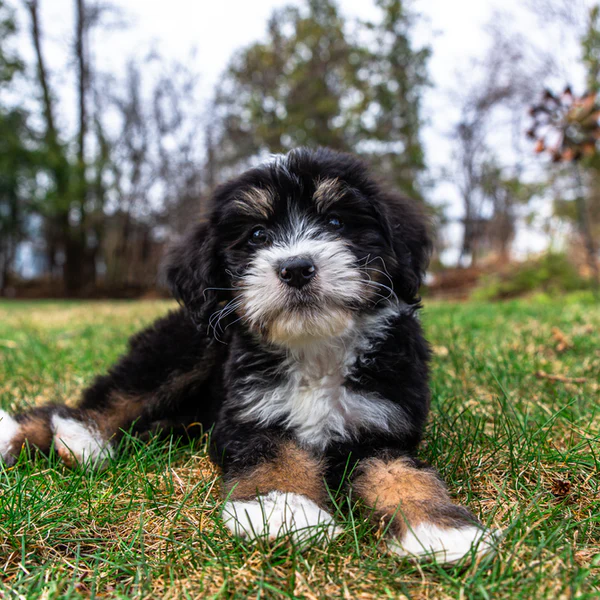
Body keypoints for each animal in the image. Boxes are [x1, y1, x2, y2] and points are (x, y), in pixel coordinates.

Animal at [1, 149, 496, 564]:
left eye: (337, 222)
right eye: (257, 234)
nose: (296, 268)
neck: (315, 349)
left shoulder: (383, 423)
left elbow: (401, 472)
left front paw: (439, 527)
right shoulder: (248, 415)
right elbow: (275, 452)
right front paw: (284, 510)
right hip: (185, 346)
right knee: (107, 398)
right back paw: (66, 436)